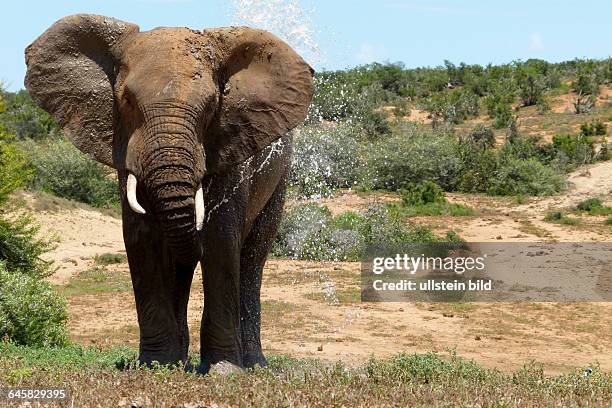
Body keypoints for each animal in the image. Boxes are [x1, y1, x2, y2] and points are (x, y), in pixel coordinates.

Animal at [23, 14, 314, 372]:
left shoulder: (232, 144)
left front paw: (223, 372)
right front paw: (155, 366)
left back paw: (253, 365)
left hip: (281, 176)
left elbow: (220, 238)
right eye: (127, 101)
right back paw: (180, 360)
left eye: (212, 105)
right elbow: (141, 238)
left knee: (252, 259)